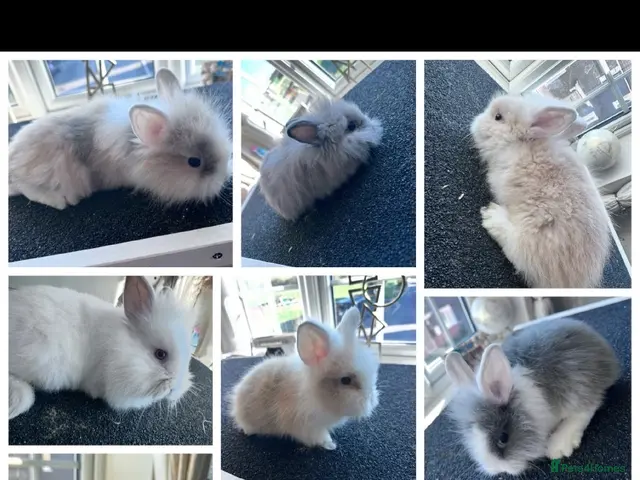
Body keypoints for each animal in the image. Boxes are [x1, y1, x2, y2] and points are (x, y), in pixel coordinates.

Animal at [228, 306, 380, 450]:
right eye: (346, 380)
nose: (371, 400)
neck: (315, 394)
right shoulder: (307, 426)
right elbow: (319, 437)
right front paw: (330, 444)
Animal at [444, 318, 620, 477]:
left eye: (503, 438)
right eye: (470, 439)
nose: (497, 469)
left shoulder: (576, 389)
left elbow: (583, 413)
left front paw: (557, 448)